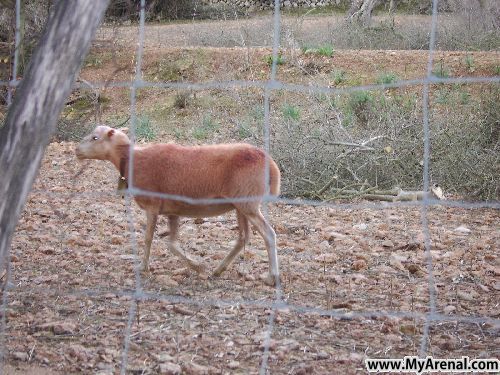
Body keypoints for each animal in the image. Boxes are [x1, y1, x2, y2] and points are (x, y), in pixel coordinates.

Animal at [76, 125, 284, 286]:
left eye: (95, 137)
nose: (77, 151)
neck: (131, 161)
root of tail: (270, 162)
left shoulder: (152, 206)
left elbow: (148, 238)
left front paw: (143, 267)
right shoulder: (172, 211)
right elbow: (172, 244)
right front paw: (198, 266)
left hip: (248, 203)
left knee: (268, 234)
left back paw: (272, 277)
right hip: (240, 206)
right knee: (243, 237)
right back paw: (218, 269)